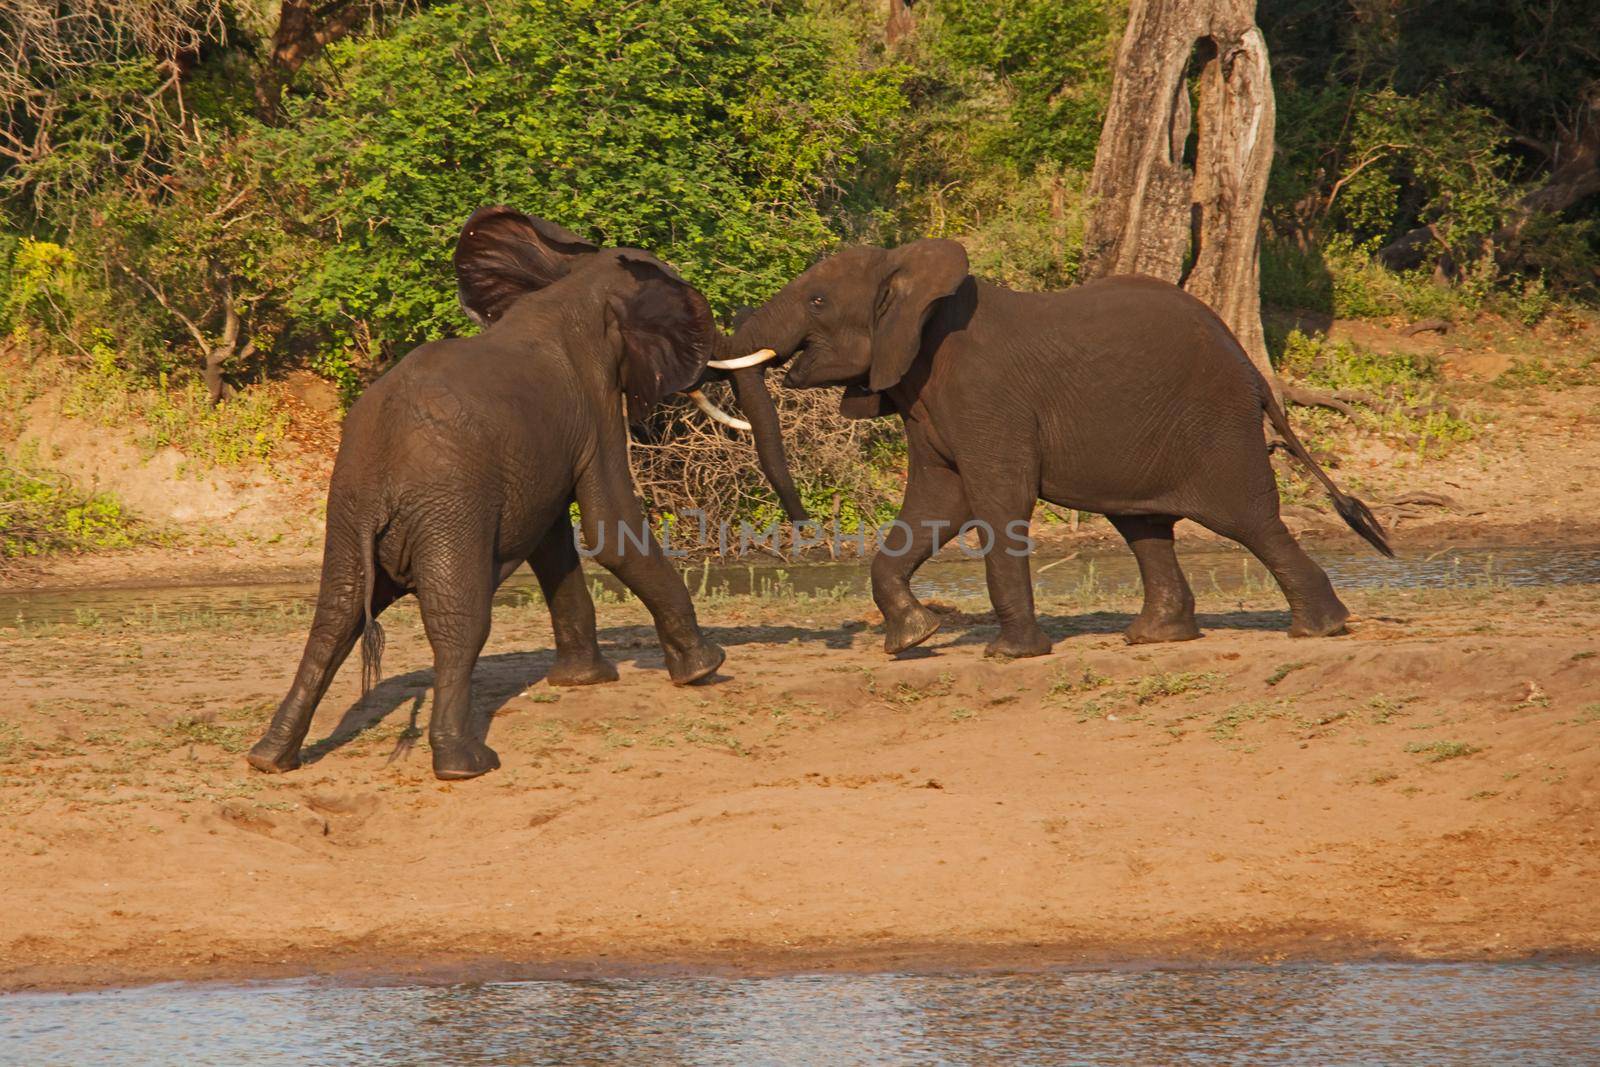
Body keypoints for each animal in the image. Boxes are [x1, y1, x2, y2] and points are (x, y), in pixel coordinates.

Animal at [246, 204, 796, 780]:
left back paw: (270, 758)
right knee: (458, 621)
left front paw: (584, 680)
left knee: (337, 614)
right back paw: (466, 765)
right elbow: (609, 525)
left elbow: (554, 543)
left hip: (349, 504)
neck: (578, 284)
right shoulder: (596, 400)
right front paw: (705, 669)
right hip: (450, 502)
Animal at [720, 241, 1395, 659]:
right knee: (1143, 526)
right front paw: (914, 639)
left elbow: (996, 501)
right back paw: (1155, 638)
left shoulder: (985, 393)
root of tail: (1252, 367)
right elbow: (937, 505)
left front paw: (1007, 655)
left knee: (1249, 519)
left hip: (1217, 423)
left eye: (816, 301)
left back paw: (1320, 630)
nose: (804, 525)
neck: (909, 271)